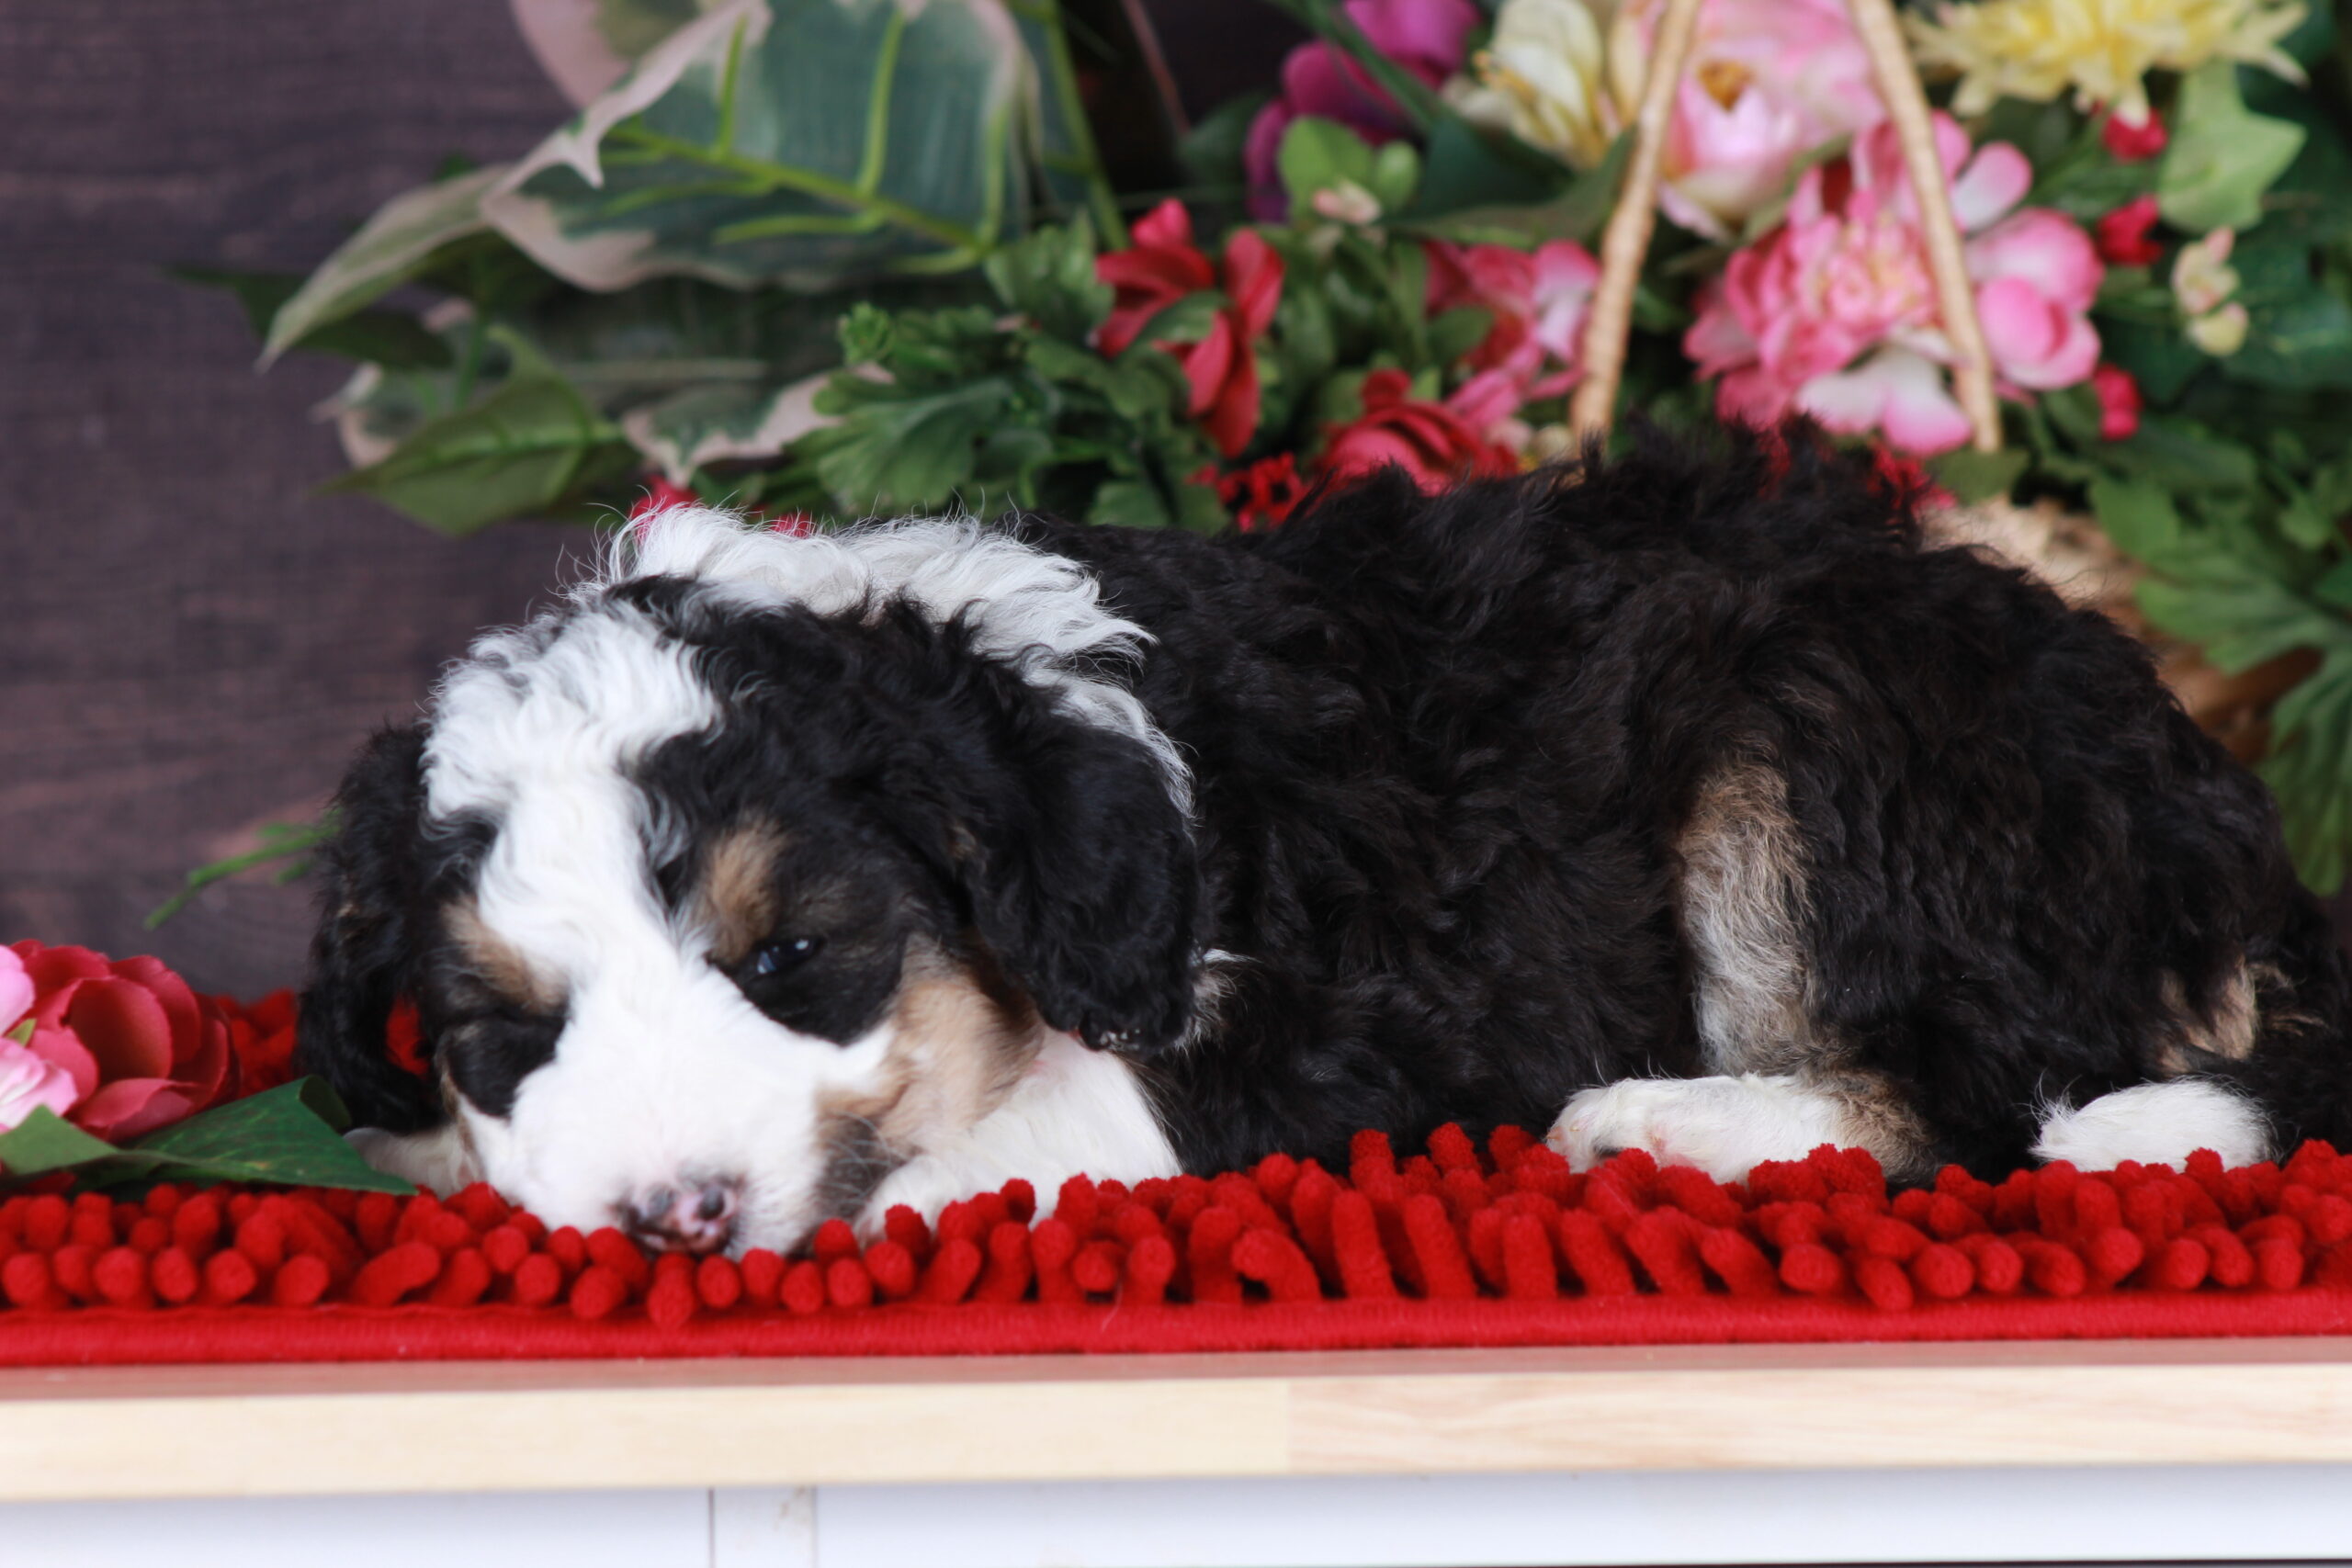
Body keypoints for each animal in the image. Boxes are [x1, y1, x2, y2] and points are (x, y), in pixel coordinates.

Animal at [295, 434, 2352, 1256]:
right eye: (503, 1030)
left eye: (793, 958)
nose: (674, 1216)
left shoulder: (1267, 1056)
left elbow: (967, 1159)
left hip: (1818, 749)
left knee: (1977, 1092)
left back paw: (1676, 1122)